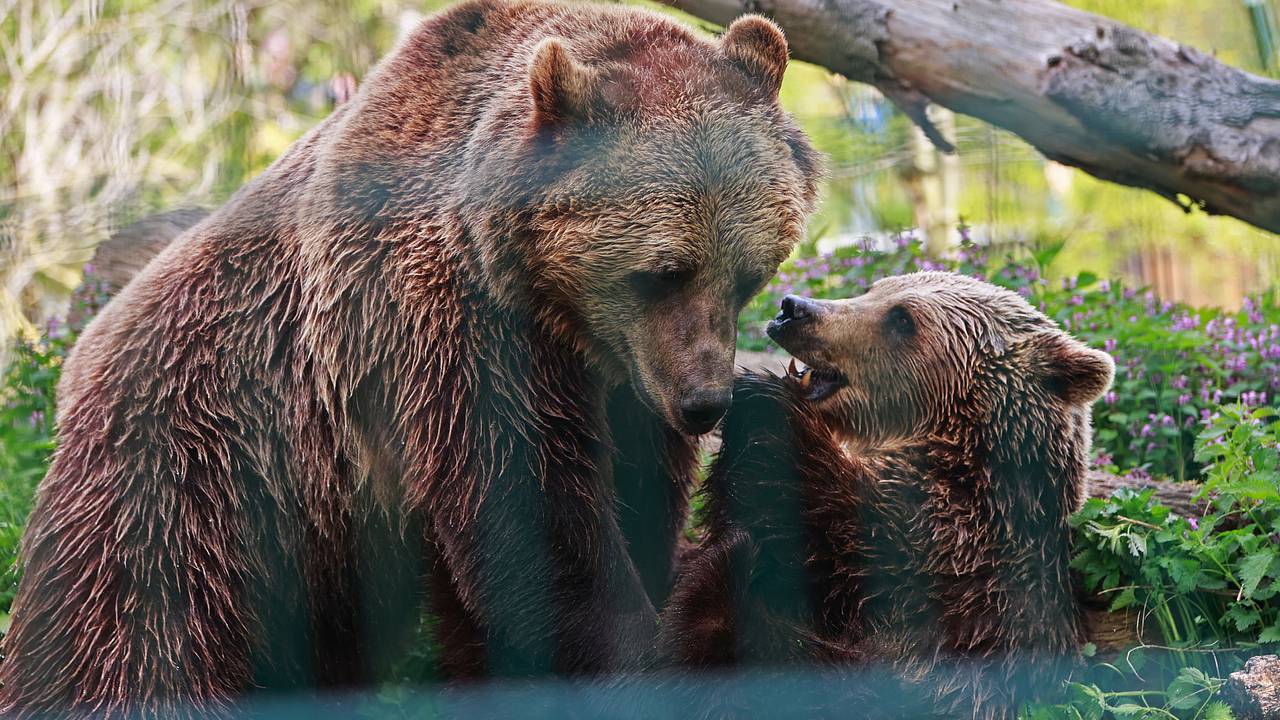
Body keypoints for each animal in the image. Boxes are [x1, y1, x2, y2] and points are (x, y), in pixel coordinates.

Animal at [0, 1, 819, 712]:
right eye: (664, 271)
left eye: (748, 274)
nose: (704, 403)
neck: (547, 302)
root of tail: (81, 361)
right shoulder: (445, 331)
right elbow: (534, 518)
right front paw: (643, 649)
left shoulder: (621, 383)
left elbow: (635, 498)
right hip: (192, 478)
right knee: (130, 645)